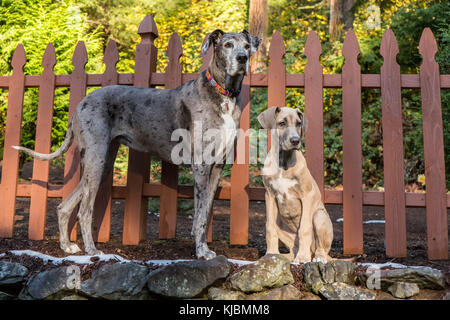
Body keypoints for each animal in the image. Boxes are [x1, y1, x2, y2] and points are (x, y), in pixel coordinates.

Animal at [14, 30, 260, 258]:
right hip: (96, 160)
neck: (223, 93)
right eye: (228, 45)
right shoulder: (201, 165)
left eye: (247, 46)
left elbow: (206, 211)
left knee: (64, 206)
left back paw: (67, 246)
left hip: (102, 163)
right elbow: (200, 215)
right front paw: (201, 251)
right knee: (84, 210)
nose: (242, 58)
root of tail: (80, 104)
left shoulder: (217, 166)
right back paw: (92, 250)